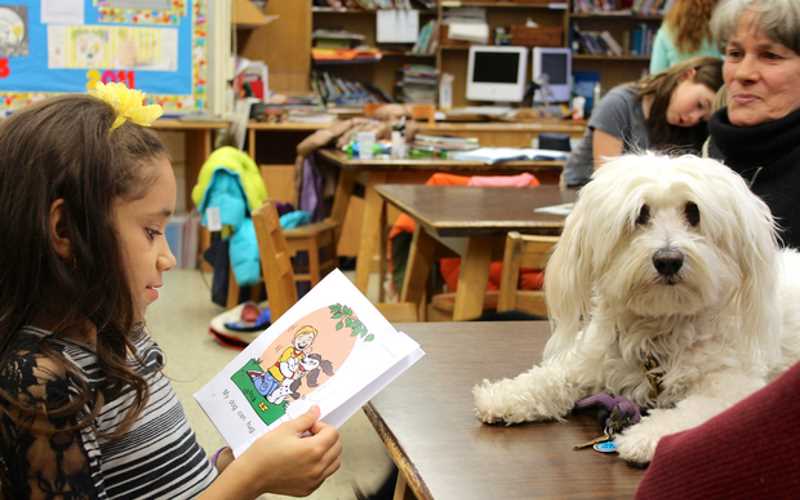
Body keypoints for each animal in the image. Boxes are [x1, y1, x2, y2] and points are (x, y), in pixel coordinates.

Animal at [476, 153, 800, 464]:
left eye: (694, 213)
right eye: (640, 214)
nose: (668, 259)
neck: (660, 331)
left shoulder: (735, 387)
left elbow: (693, 411)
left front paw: (646, 436)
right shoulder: (592, 359)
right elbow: (551, 376)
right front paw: (505, 395)